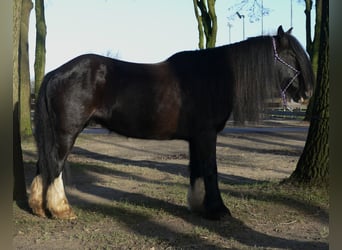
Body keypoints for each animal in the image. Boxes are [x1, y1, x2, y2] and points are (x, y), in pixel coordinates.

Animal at [28, 25, 312, 220]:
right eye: (292, 56)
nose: (307, 93)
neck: (213, 77)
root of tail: (55, 73)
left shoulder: (197, 137)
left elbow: (196, 169)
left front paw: (197, 206)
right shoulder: (207, 134)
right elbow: (211, 169)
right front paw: (219, 210)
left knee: (44, 164)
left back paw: (40, 208)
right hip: (66, 133)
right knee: (55, 165)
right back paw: (61, 210)